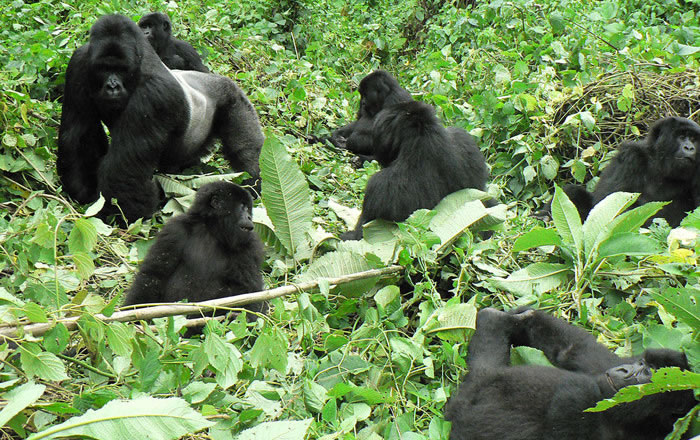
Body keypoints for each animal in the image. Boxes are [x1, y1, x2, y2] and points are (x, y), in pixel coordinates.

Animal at [446, 308, 696, 440]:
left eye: (646, 375)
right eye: (642, 363)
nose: (625, 370)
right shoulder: (605, 366)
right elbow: (570, 349)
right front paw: (523, 318)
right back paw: (494, 320)